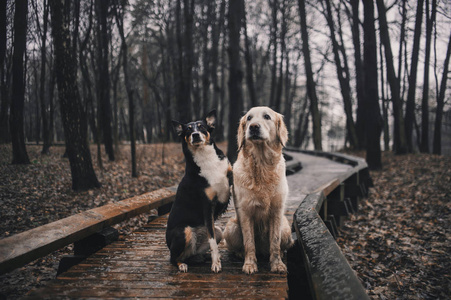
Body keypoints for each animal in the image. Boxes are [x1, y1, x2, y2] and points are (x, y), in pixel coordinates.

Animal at [166, 109, 231, 272]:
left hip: (218, 230)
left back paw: (199, 257)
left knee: (191, 254)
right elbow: (213, 242)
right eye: (188, 130)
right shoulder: (208, 205)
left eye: (201, 127)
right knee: (173, 258)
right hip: (184, 231)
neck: (205, 157)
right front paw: (216, 263)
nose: (195, 135)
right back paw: (182, 265)